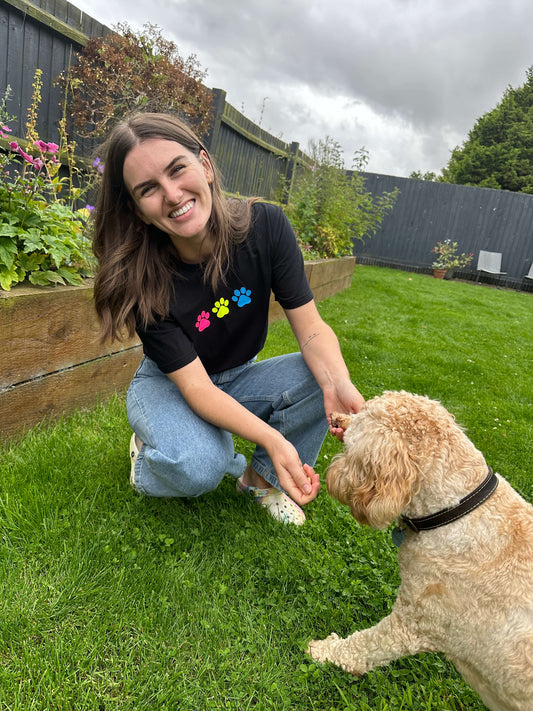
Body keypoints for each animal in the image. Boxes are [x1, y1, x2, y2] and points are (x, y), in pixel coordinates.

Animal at [306, 392, 532, 708]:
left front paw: (324, 651)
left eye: (353, 441)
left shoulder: (412, 624)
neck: (456, 508)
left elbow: (365, 645)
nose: (336, 418)